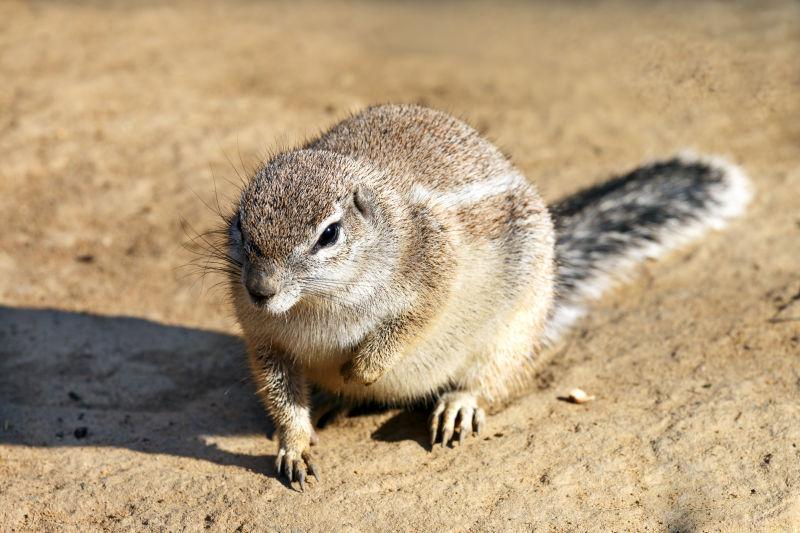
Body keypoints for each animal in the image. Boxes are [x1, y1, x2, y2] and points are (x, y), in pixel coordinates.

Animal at [214, 102, 752, 488]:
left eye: (329, 234)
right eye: (240, 226)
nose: (259, 291)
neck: (318, 306)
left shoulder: (435, 268)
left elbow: (414, 320)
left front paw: (362, 368)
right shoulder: (265, 340)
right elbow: (281, 395)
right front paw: (295, 445)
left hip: (512, 332)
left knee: (491, 381)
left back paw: (457, 404)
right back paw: (329, 399)